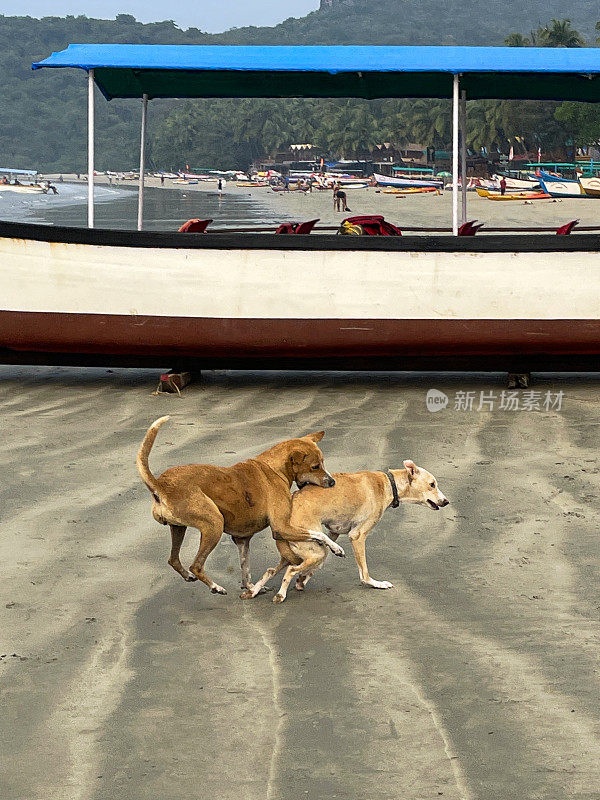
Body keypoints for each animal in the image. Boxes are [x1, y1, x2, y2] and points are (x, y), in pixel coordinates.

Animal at [135, 418, 342, 592]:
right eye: (315, 467)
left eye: (323, 462)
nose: (332, 482)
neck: (274, 469)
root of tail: (160, 484)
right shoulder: (281, 528)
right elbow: (318, 534)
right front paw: (335, 548)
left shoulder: (242, 541)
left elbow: (245, 568)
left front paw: (251, 588)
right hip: (214, 525)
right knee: (196, 565)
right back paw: (216, 587)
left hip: (178, 528)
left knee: (174, 559)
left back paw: (188, 576)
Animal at [246, 460, 448, 604]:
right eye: (432, 484)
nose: (446, 501)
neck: (387, 484)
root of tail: (281, 520)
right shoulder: (357, 536)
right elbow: (364, 573)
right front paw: (376, 584)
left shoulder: (333, 533)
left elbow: (320, 563)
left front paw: (303, 580)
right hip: (314, 551)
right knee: (290, 570)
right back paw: (280, 595)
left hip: (301, 552)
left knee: (272, 570)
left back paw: (253, 591)